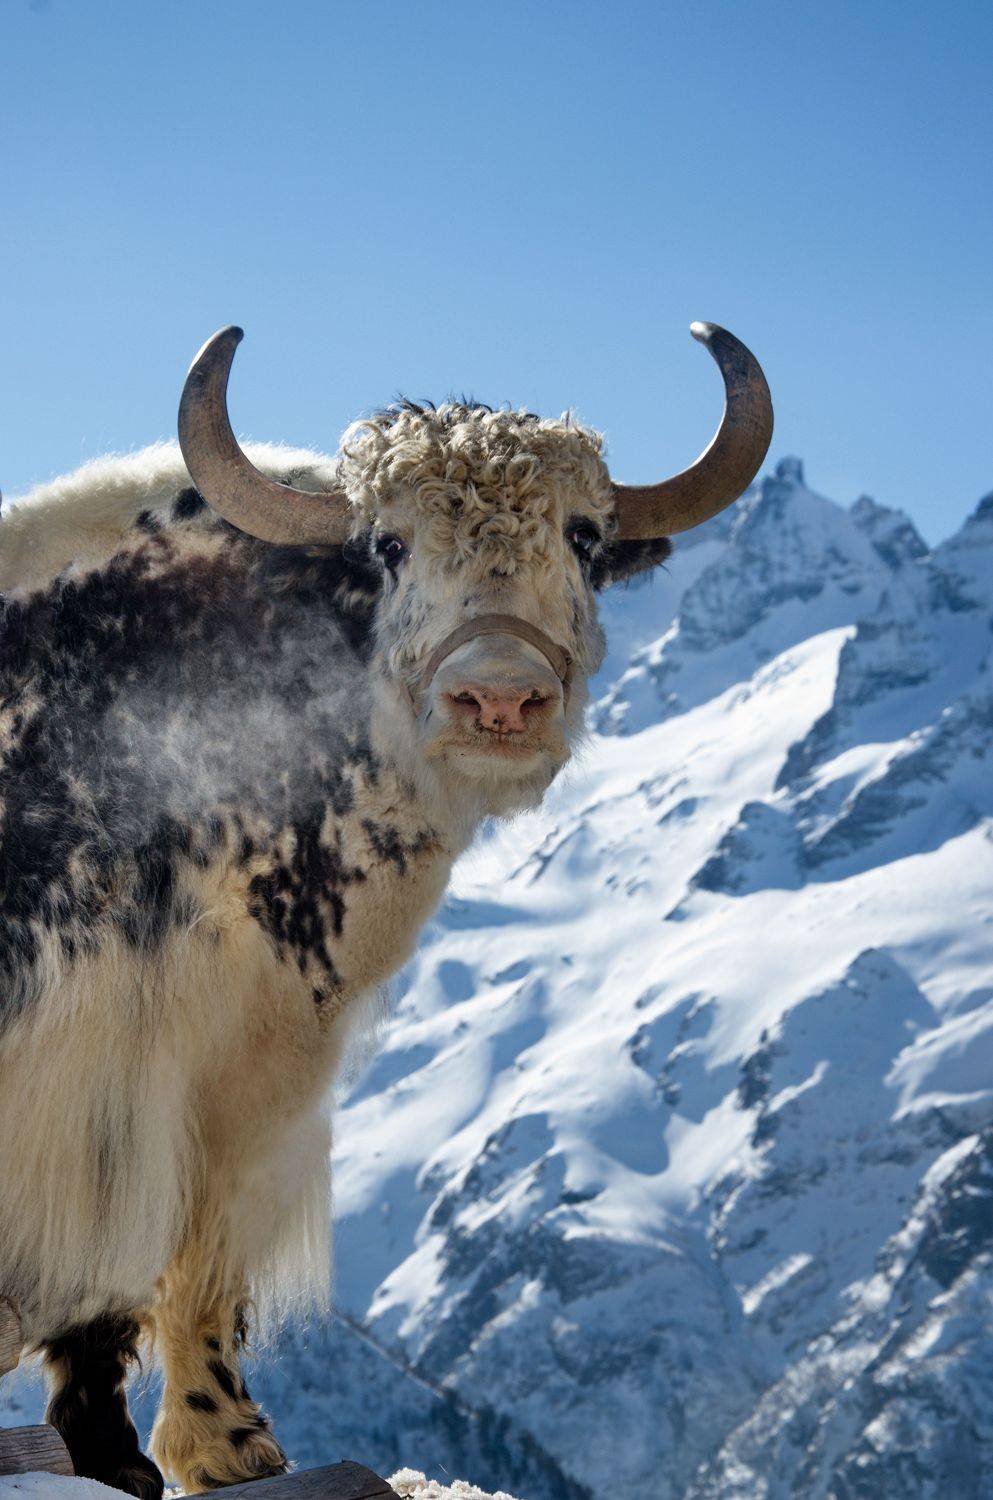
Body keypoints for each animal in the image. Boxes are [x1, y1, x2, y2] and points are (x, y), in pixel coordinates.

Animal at [0, 323, 771, 1495]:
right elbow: (172, 1246)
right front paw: (224, 1445)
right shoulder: (206, 1059)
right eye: (391, 546)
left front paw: (146, 1455)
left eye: (584, 537)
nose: (498, 699)